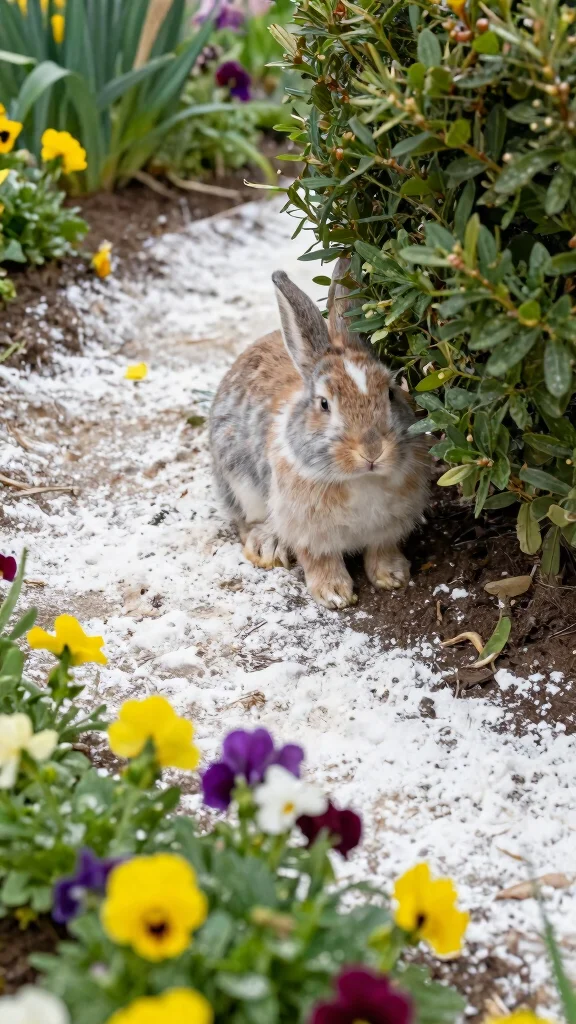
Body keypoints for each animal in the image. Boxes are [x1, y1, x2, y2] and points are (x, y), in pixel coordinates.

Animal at [209, 258, 429, 609]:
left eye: (391, 393)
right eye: (324, 404)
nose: (372, 450)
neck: (360, 479)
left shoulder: (388, 528)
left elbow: (382, 549)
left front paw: (392, 575)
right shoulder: (308, 532)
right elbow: (319, 560)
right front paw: (334, 594)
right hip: (239, 482)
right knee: (245, 522)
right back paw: (267, 545)